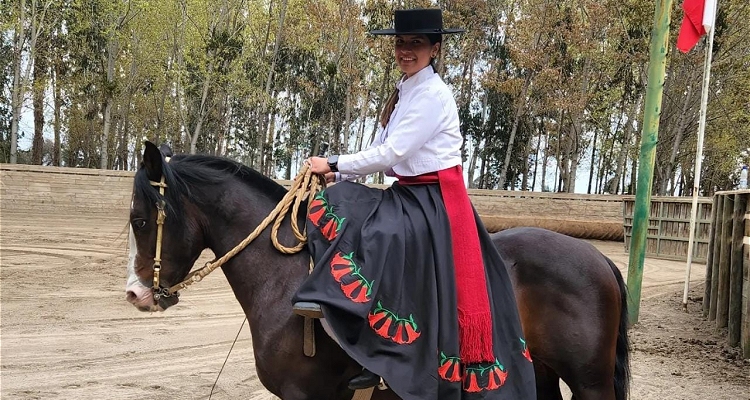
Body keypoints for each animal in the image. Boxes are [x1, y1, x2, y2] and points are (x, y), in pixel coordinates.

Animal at [126, 141, 632, 400]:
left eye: (140, 219)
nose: (136, 295)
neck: (282, 279)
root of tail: (599, 259)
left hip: (589, 381)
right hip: (543, 373)